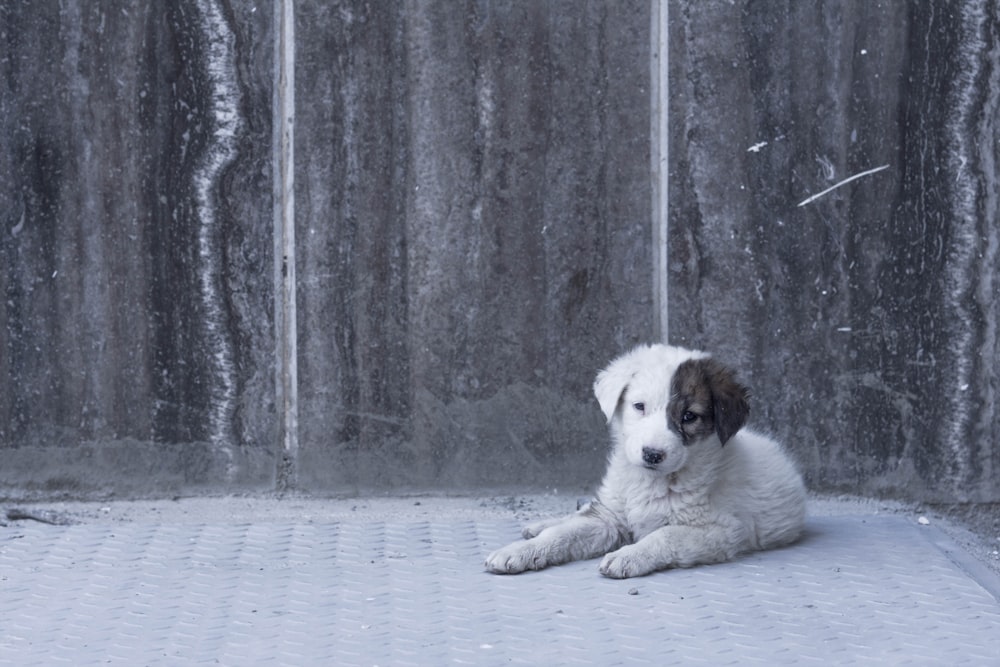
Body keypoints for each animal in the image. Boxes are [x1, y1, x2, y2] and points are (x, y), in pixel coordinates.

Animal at [484, 344, 804, 580]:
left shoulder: (719, 531)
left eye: (689, 416)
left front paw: (628, 556)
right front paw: (520, 551)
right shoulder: (609, 519)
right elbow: (564, 533)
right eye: (639, 406)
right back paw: (537, 526)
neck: (654, 482)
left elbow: (664, 535)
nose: (652, 454)